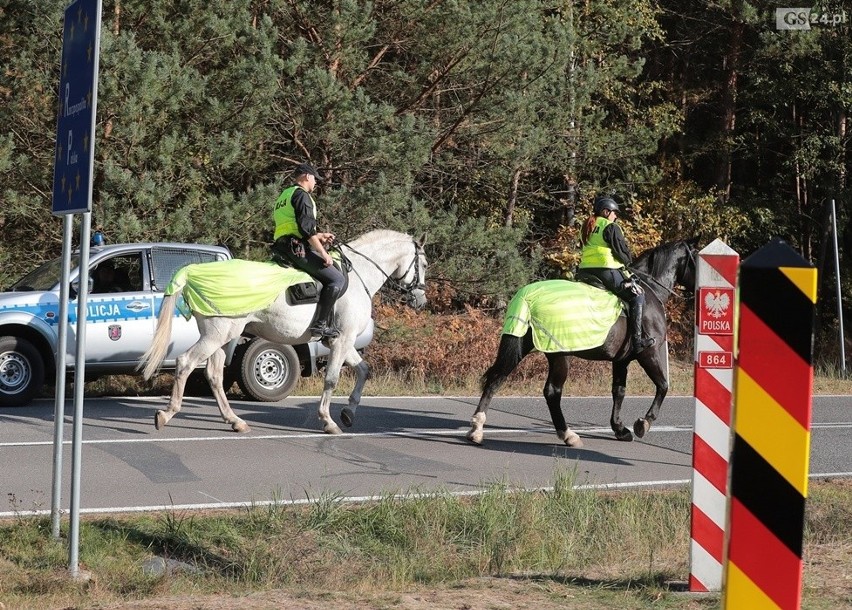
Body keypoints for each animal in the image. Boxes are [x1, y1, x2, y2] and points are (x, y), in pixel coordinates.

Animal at [144, 228, 432, 432]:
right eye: (425, 264)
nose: (421, 300)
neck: (359, 275)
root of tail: (193, 272)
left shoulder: (342, 341)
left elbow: (363, 370)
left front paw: (349, 412)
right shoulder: (342, 340)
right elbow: (332, 379)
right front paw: (328, 421)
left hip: (222, 337)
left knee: (214, 374)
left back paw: (235, 421)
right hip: (217, 335)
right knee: (186, 362)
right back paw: (166, 414)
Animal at [466, 239, 700, 446]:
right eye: (697, 256)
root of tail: (528, 297)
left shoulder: (621, 361)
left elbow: (619, 391)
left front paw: (619, 429)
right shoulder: (648, 353)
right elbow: (663, 385)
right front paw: (644, 423)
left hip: (519, 344)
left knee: (496, 379)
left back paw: (476, 429)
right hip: (560, 354)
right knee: (552, 391)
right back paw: (568, 434)